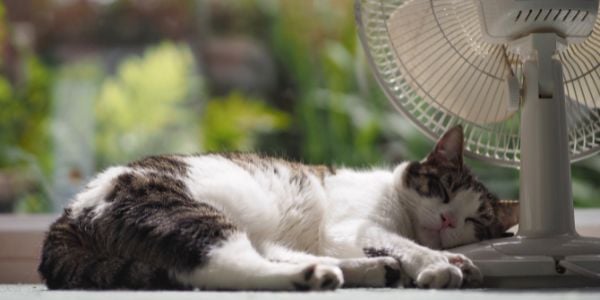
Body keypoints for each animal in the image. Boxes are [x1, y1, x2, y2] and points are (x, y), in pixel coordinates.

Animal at [37, 126, 516, 290]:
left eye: (475, 220)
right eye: (442, 189)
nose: (448, 219)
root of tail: (64, 219)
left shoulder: (344, 237)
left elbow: (403, 247)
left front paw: (453, 260)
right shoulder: (355, 228)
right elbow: (405, 245)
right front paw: (437, 264)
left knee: (268, 254)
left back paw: (362, 272)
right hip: (188, 215)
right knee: (217, 268)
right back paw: (314, 278)